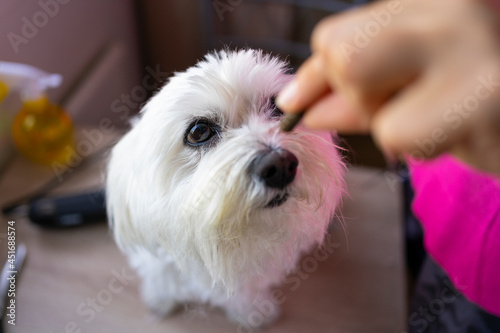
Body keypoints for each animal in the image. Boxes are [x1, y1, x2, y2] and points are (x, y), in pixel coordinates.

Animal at [106, 49, 344, 326]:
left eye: (278, 107)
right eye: (199, 131)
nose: (280, 166)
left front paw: (253, 312)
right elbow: (161, 280)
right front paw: (160, 300)